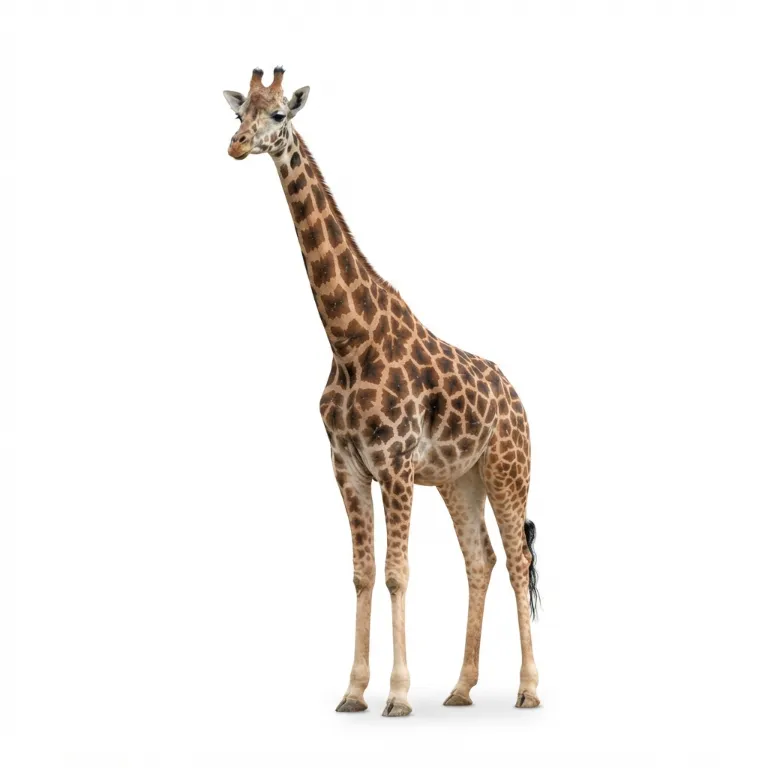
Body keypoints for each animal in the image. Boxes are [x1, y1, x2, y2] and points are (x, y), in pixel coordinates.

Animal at [223, 67, 541, 717]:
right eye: (239, 114)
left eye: (278, 116)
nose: (236, 146)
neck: (348, 339)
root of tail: (519, 400)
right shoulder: (346, 465)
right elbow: (362, 573)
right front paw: (353, 691)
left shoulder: (394, 464)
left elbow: (397, 572)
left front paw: (396, 694)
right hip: (458, 480)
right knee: (482, 558)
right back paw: (461, 688)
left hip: (507, 469)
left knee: (519, 560)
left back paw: (528, 689)